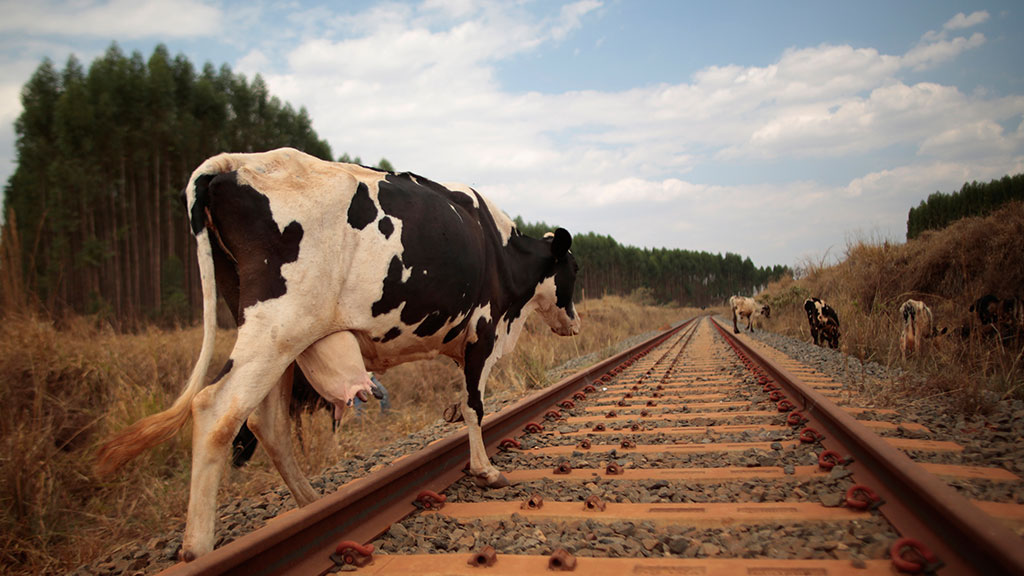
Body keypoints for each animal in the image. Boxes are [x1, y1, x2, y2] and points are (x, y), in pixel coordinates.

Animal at [96, 146, 581, 557]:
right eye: (574, 268)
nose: (575, 322)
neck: (500, 250)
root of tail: (236, 162)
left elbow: (463, 402)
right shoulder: (484, 330)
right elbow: (475, 407)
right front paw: (486, 471)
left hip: (277, 334)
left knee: (267, 422)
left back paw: (314, 507)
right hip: (279, 324)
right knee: (217, 409)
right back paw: (198, 549)